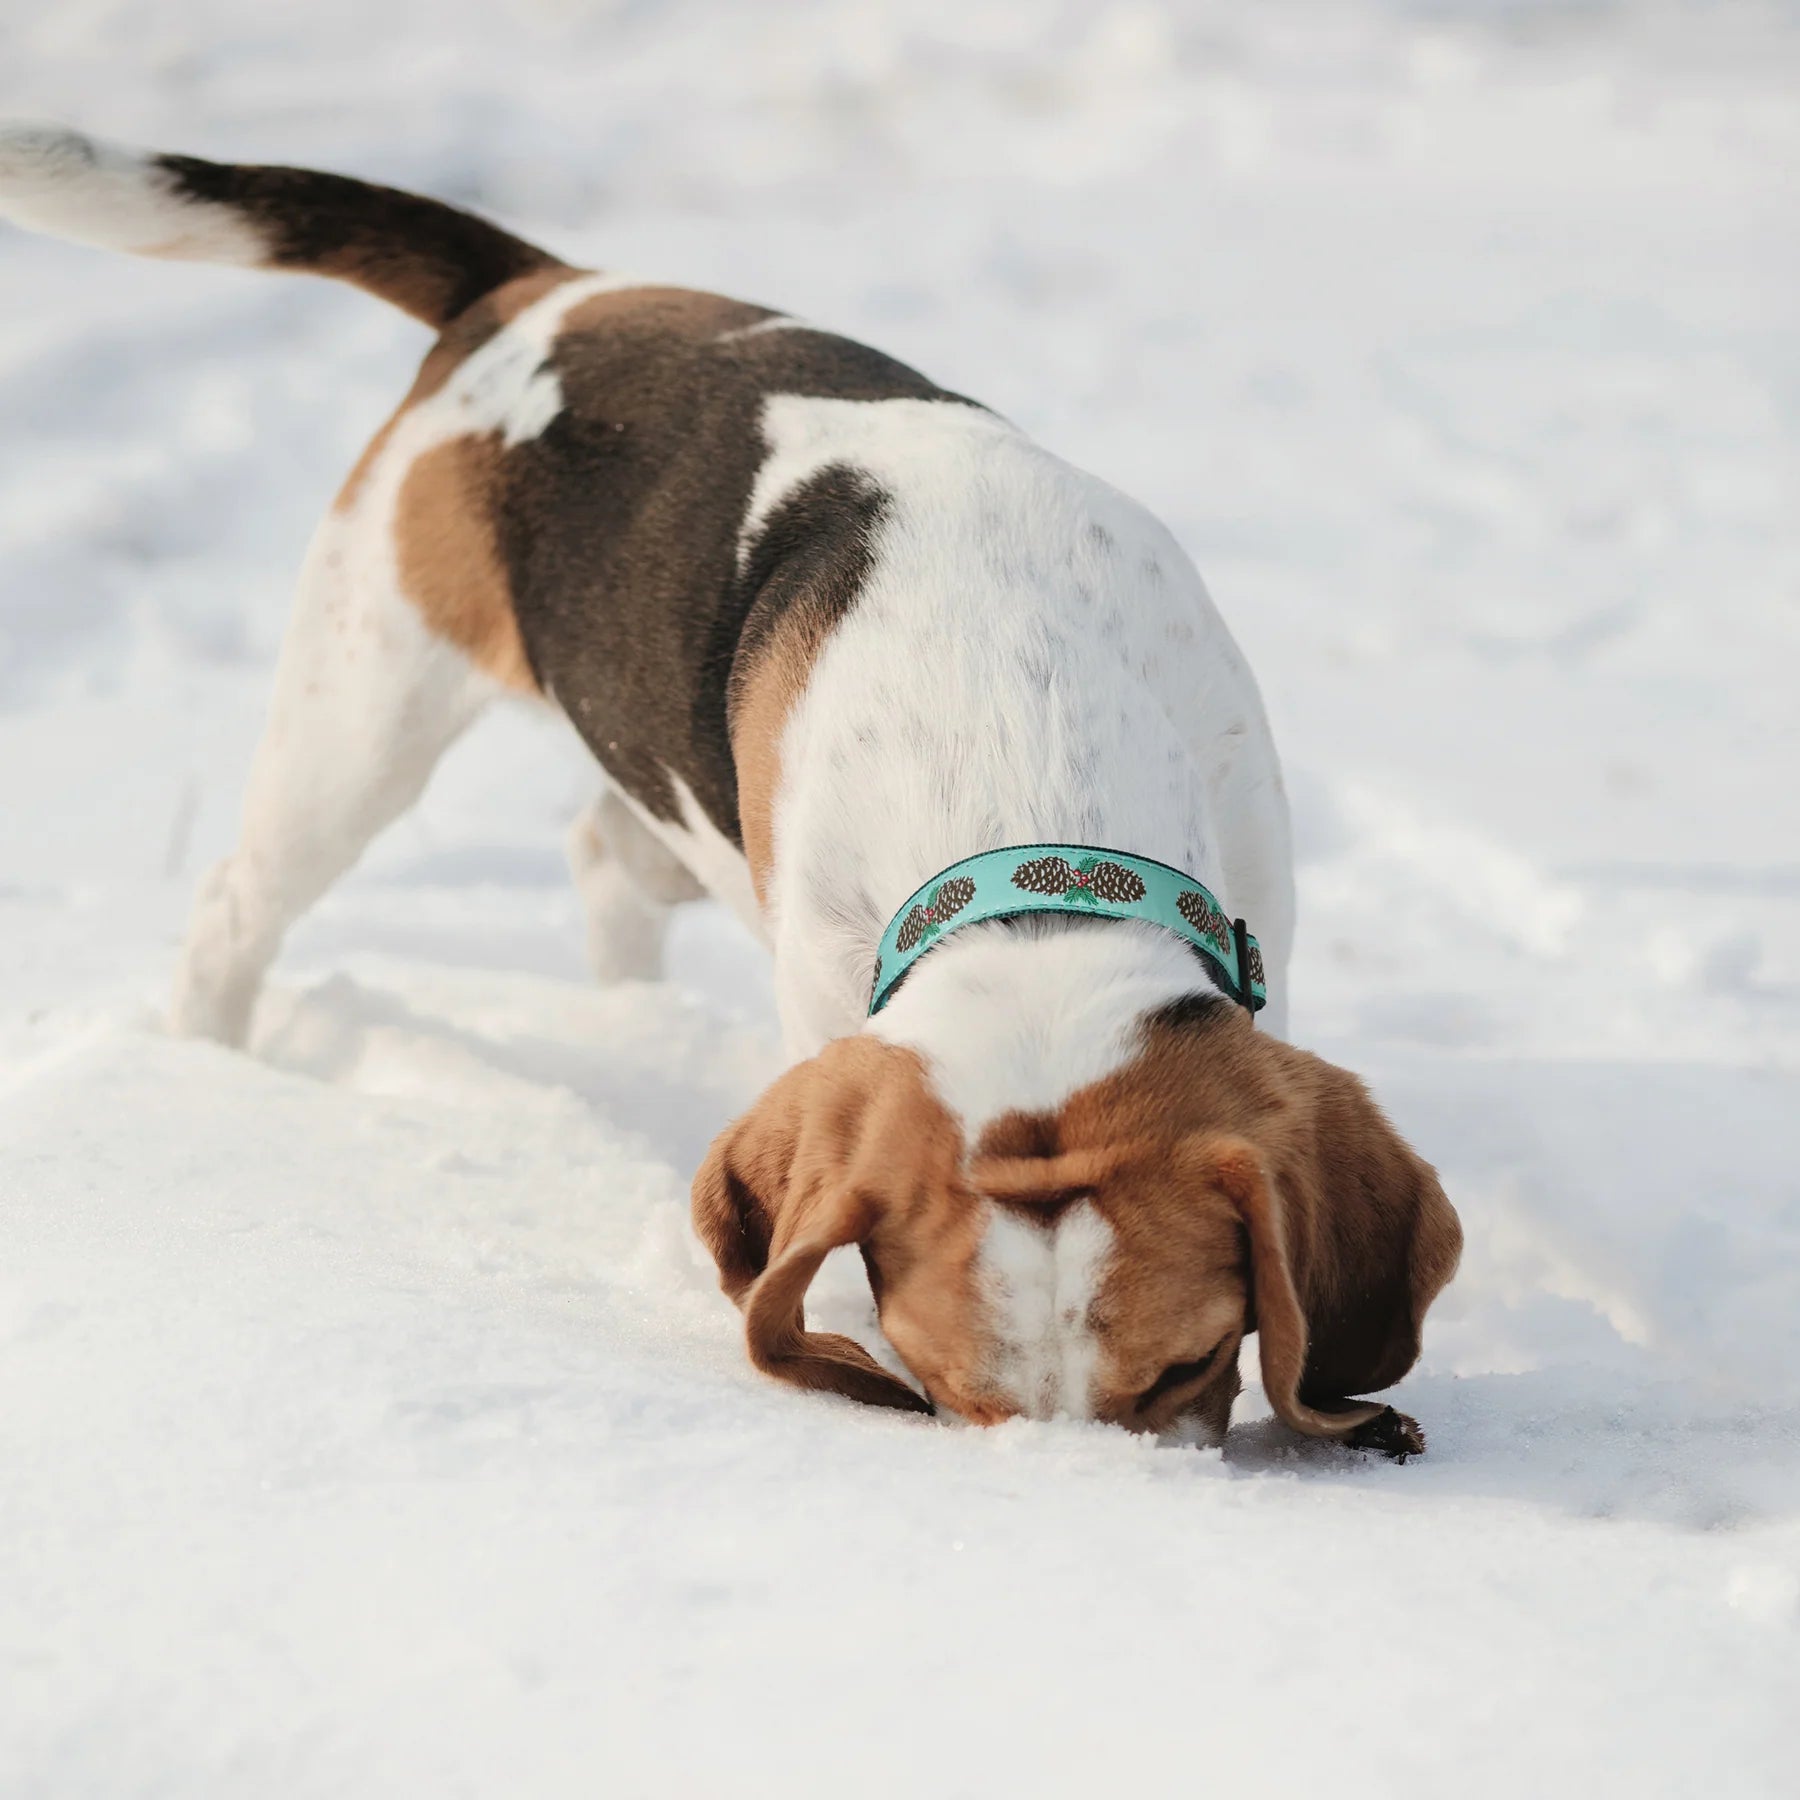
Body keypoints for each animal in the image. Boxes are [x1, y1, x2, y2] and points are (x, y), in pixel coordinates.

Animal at [3, 123, 1461, 1447]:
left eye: (1189, 1366)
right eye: (938, 1380)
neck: (1026, 782)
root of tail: (538, 287)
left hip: (648, 807)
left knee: (605, 858)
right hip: (362, 714)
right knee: (234, 907)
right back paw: (211, 1067)